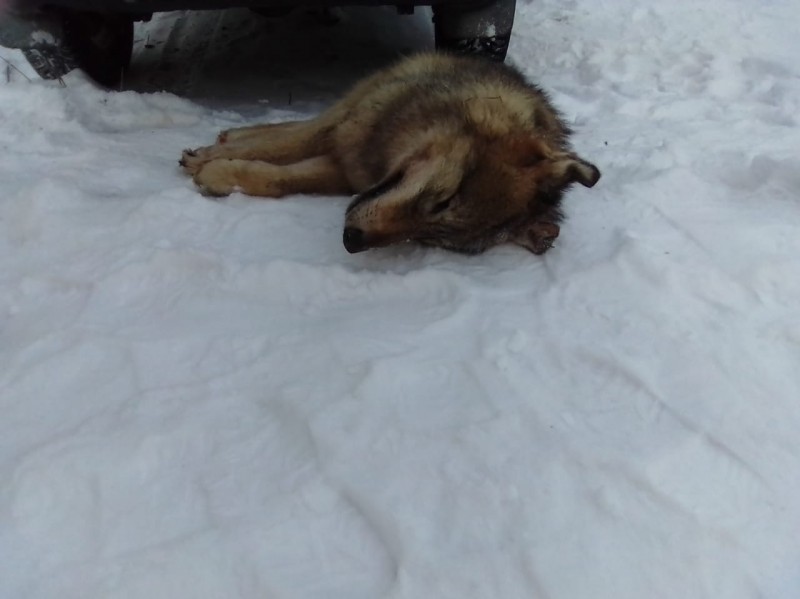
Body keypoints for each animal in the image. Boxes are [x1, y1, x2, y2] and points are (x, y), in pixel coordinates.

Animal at [178, 52, 596, 255]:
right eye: (442, 200)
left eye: (430, 239)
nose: (352, 241)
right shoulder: (346, 132)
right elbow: (281, 145)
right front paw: (208, 163)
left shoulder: (345, 172)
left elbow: (280, 179)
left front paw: (219, 172)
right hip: (357, 102)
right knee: (294, 127)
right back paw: (228, 137)